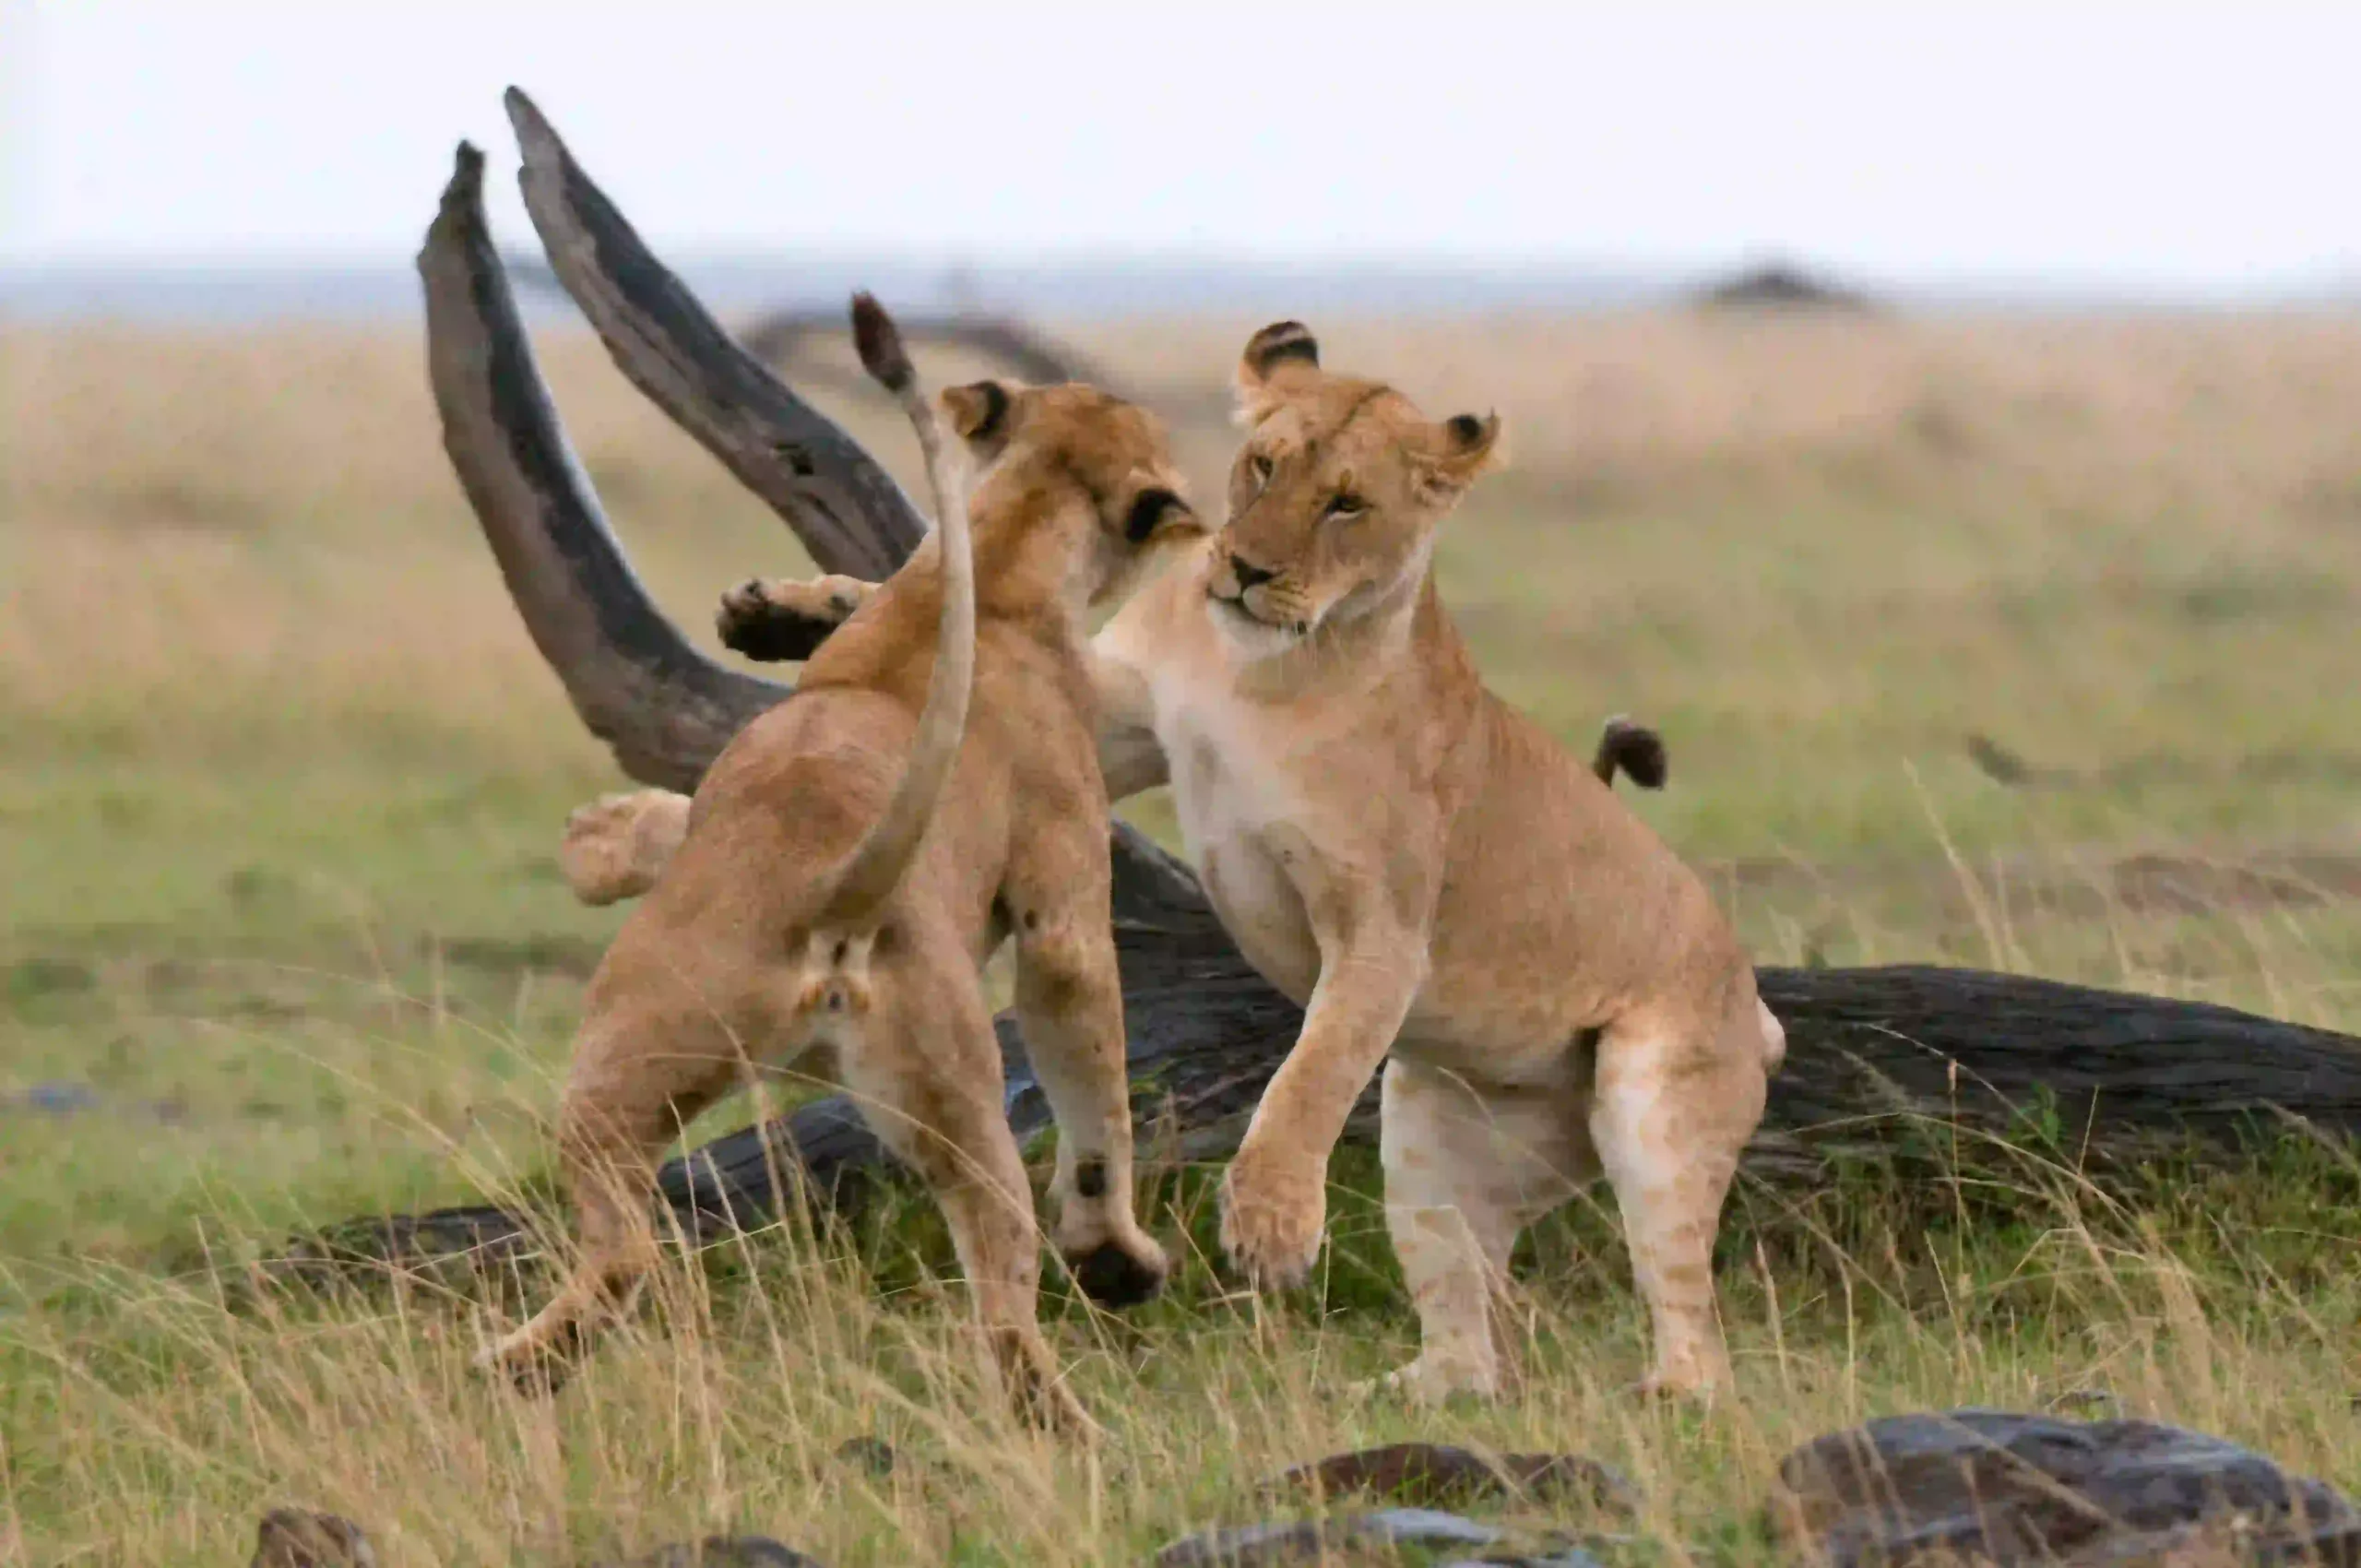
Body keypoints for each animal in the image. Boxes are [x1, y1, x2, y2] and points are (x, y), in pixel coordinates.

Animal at [481, 294, 1198, 1428]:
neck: (998, 565)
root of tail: (831, 901)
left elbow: (672, 819)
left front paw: (594, 838)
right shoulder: (1067, 883)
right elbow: (1094, 1077)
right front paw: (1117, 1255)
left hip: (619, 1062)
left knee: (627, 1245)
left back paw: (517, 1364)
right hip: (953, 1102)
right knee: (1004, 1298)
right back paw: (1073, 1425)